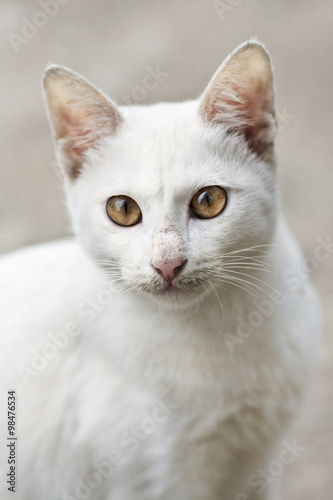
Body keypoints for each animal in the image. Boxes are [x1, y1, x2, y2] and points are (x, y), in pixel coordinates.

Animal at [0, 41, 320, 498]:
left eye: (209, 201)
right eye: (122, 209)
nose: (167, 263)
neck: (215, 335)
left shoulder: (255, 469)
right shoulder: (155, 482)